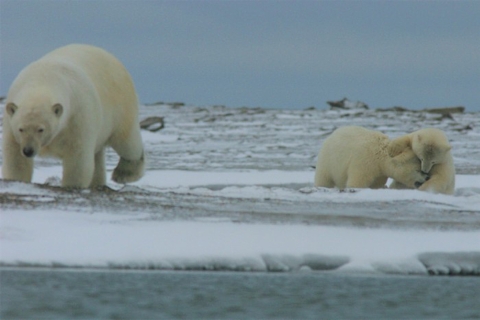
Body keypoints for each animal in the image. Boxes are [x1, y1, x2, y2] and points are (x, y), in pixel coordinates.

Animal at [2, 42, 144, 188]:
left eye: (41, 129)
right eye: (21, 129)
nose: (28, 150)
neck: (43, 79)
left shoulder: (77, 116)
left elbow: (77, 157)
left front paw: (72, 185)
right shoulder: (11, 122)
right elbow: (15, 158)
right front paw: (17, 179)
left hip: (121, 103)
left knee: (126, 141)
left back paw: (124, 173)